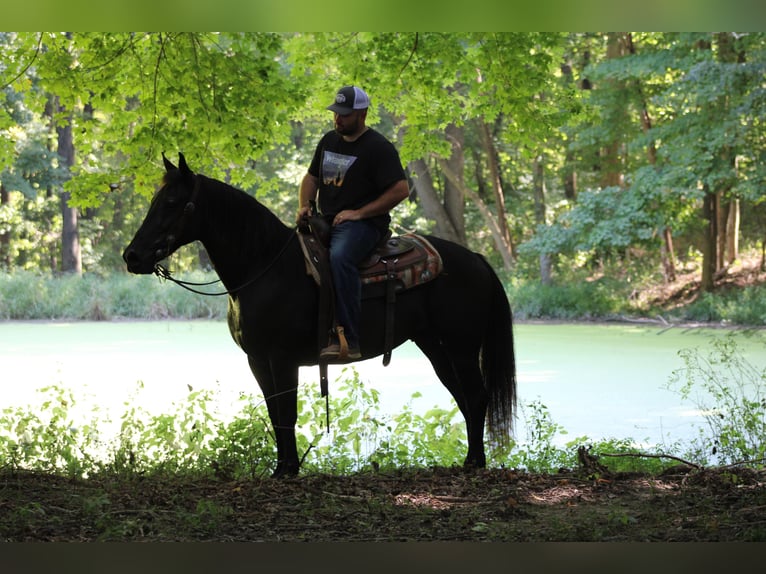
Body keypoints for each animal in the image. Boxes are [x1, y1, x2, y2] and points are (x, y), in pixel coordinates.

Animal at [124, 152, 520, 476]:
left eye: (172, 202)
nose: (132, 256)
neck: (265, 266)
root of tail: (477, 260)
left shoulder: (282, 358)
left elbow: (287, 413)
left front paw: (288, 470)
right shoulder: (258, 359)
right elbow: (274, 412)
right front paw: (283, 467)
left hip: (461, 348)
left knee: (477, 397)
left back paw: (476, 463)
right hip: (437, 348)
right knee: (465, 398)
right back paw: (470, 460)